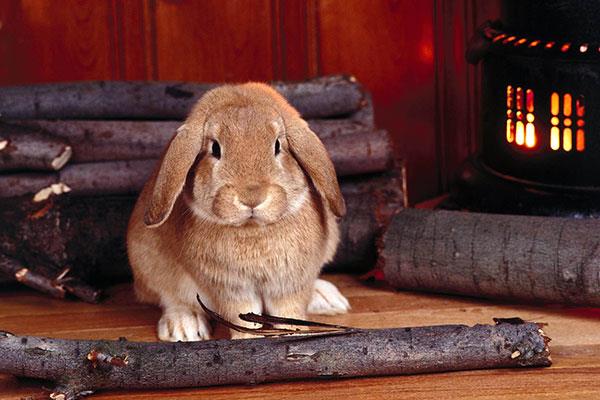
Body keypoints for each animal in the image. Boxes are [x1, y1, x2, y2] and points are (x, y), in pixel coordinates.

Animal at [127, 82, 352, 340]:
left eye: (277, 145)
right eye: (215, 148)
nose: (252, 198)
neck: (253, 230)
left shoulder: (290, 283)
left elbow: (289, 310)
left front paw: (296, 335)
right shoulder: (229, 288)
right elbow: (241, 315)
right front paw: (247, 339)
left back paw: (327, 298)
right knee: (170, 298)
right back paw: (185, 327)